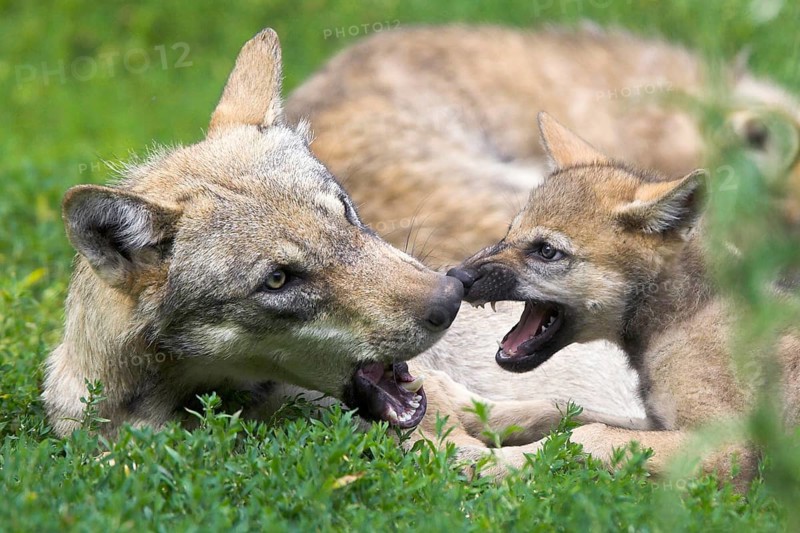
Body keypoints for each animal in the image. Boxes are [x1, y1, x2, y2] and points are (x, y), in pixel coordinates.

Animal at [443, 113, 800, 482]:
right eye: (508, 233)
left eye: (547, 251)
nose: (456, 277)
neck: (686, 316)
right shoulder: (656, 422)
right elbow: (558, 409)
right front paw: (470, 412)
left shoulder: (726, 446)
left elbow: (587, 435)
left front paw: (490, 461)